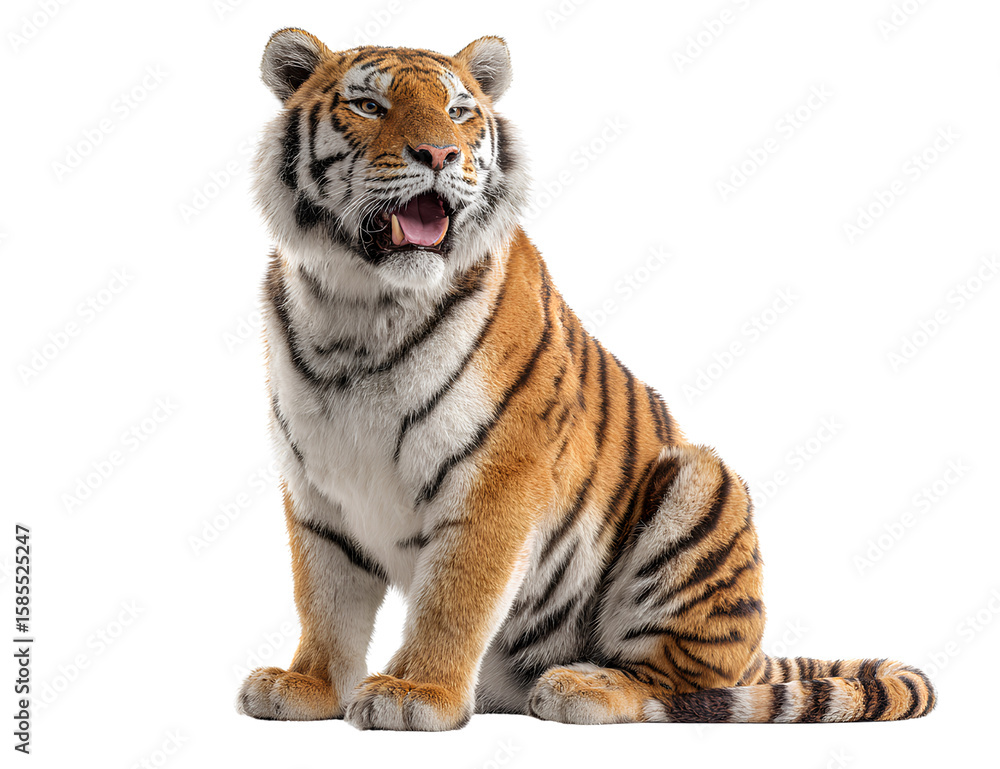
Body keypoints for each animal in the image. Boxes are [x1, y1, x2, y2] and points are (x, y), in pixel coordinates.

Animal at [236, 28, 936, 730]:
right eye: (369, 107)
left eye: (458, 113)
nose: (440, 153)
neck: (358, 309)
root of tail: (755, 656)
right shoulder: (314, 488)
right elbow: (324, 600)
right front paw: (308, 685)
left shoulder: (500, 475)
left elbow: (455, 598)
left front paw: (417, 693)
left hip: (703, 487)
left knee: (675, 685)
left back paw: (584, 687)